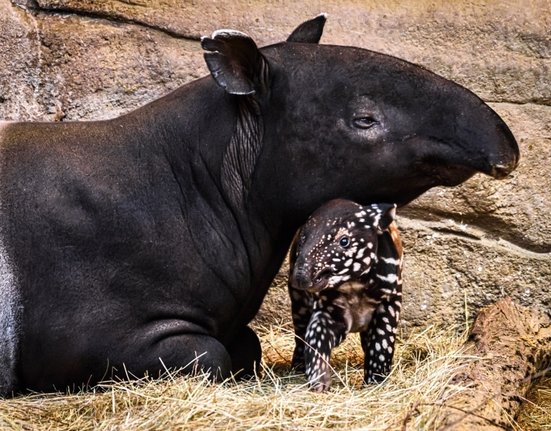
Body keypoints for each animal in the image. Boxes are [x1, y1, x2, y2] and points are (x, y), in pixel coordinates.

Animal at [0, 16, 516, 394]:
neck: (194, 183)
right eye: (365, 119)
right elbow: (212, 356)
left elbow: (248, 345)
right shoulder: (94, 326)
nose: (505, 147)